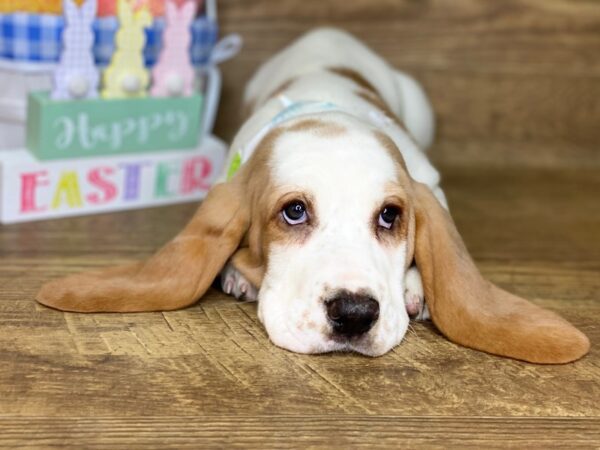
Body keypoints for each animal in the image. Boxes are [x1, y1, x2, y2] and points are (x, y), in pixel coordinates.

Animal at [38, 28, 592, 364]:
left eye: (390, 216)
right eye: (295, 212)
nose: (354, 314)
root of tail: (326, 33)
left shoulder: (427, 182)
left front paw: (413, 286)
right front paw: (236, 273)